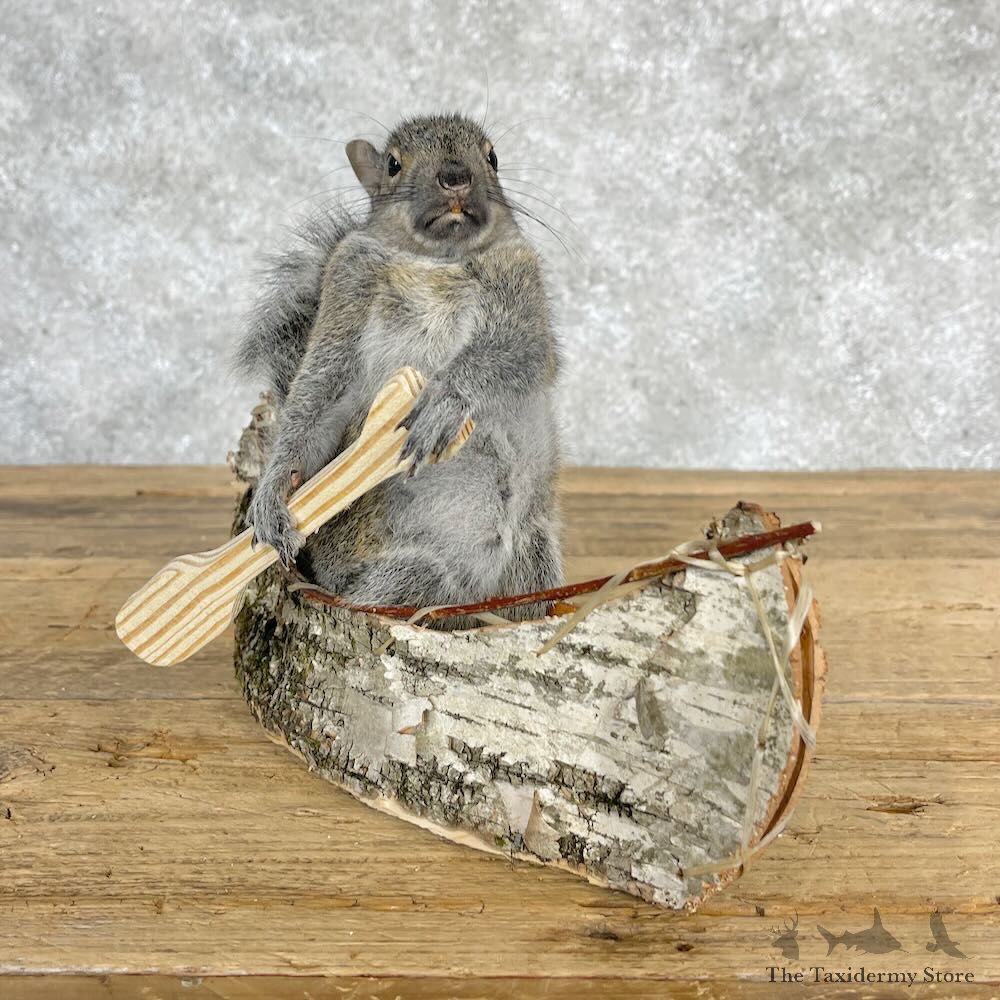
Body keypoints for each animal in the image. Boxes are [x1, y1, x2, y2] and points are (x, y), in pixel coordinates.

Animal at [234, 112, 563, 621]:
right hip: (407, 574)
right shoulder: (347, 283)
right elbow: (319, 391)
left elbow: (521, 349)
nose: (455, 176)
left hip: (533, 553)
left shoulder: (519, 277)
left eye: (491, 157)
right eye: (393, 164)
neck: (437, 261)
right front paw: (274, 490)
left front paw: (445, 400)